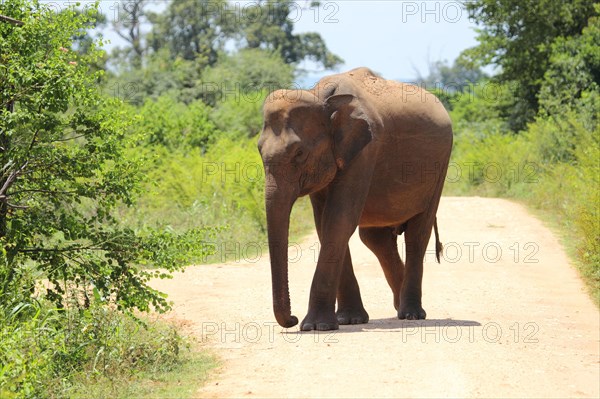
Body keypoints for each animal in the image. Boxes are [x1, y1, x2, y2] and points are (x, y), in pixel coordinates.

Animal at [255, 68, 452, 332]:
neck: (321, 97)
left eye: (299, 153)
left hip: (441, 167)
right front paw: (348, 320)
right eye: (259, 150)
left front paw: (316, 326)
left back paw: (411, 314)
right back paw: (398, 304)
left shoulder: (365, 151)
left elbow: (338, 220)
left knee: (418, 234)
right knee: (375, 238)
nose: (292, 319)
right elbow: (325, 224)